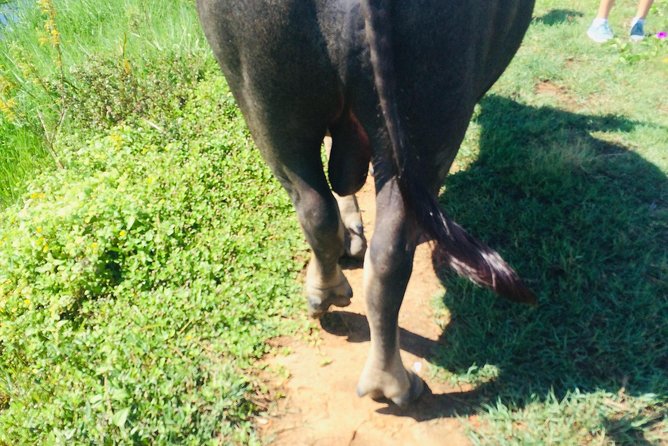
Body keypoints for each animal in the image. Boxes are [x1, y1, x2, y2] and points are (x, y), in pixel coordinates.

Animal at [197, 0, 536, 404]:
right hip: (431, 112)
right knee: (390, 250)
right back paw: (396, 385)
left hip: (267, 106)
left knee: (317, 211)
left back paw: (326, 297)